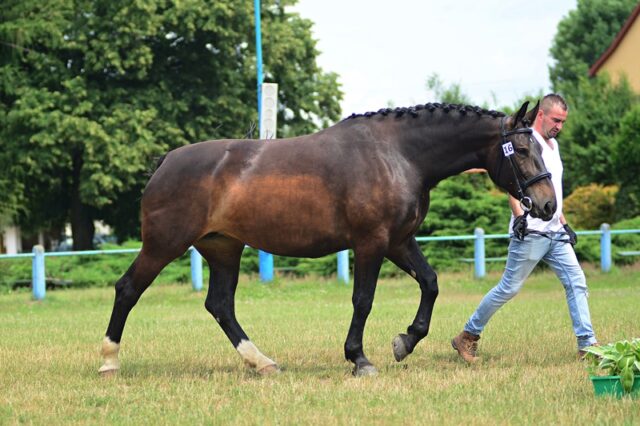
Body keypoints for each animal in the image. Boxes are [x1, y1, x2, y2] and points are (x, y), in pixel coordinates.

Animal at [99, 100, 556, 376]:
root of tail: (166, 162)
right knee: (128, 289)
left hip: (224, 248)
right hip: (164, 245)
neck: (398, 155)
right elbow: (363, 300)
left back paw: (263, 363)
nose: (548, 205)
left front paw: (405, 341)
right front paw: (359, 359)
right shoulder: (371, 243)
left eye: (540, 146)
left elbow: (430, 283)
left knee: (220, 306)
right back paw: (108, 361)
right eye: (522, 149)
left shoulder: (399, 241)